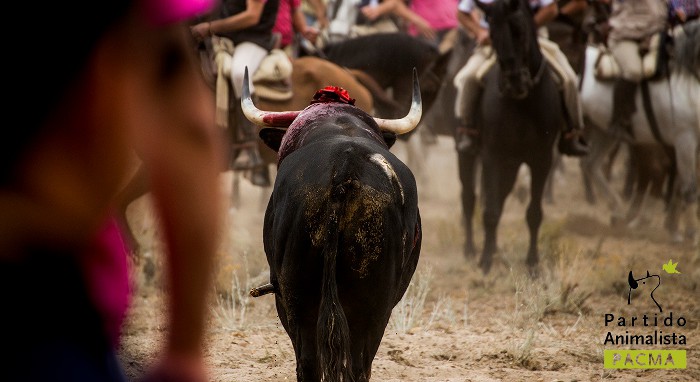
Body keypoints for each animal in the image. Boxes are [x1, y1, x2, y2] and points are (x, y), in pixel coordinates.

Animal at [580, 23, 700, 245]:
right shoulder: (684, 140)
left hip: (603, 130)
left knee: (591, 164)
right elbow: (688, 188)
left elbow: (679, 184)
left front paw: (675, 229)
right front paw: (691, 233)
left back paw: (618, 211)